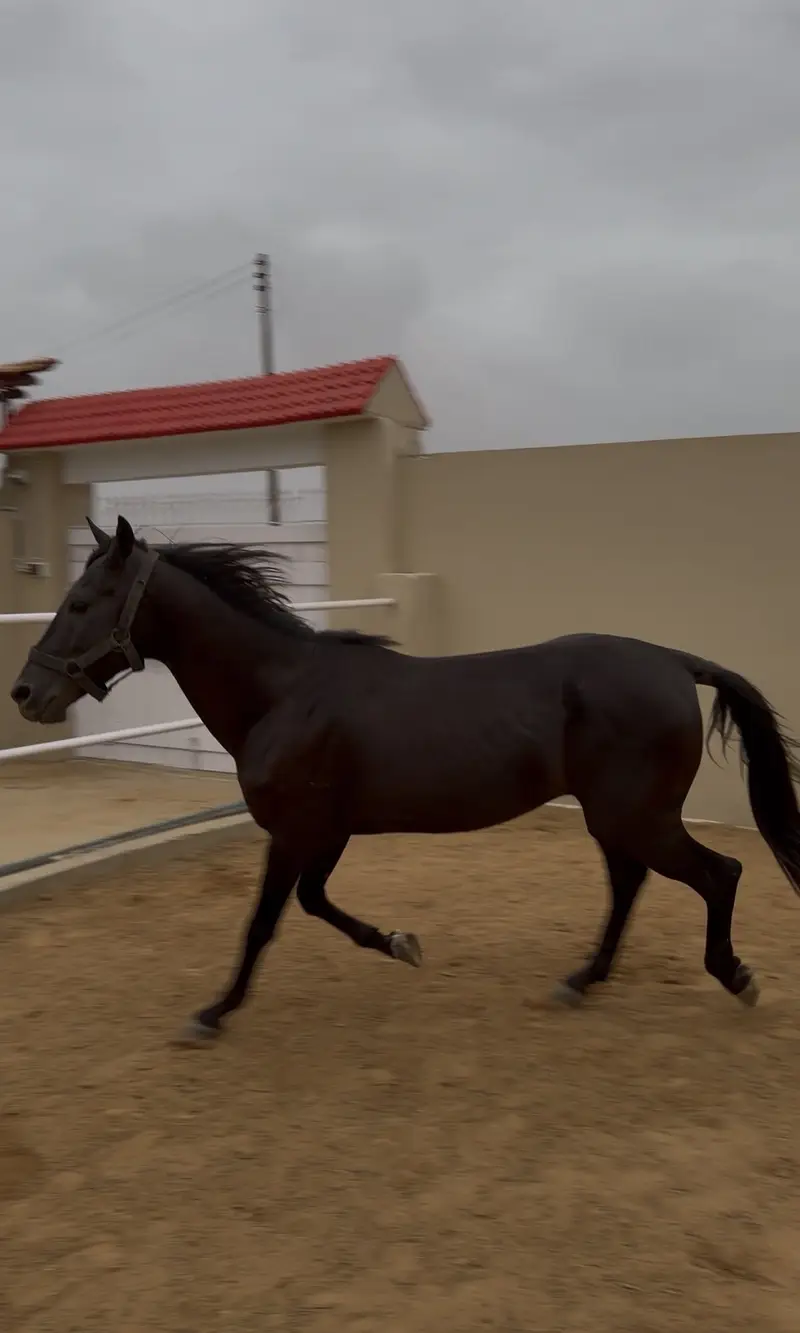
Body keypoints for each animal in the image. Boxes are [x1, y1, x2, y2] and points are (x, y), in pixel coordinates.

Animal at [10, 514, 800, 1045]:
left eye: (80, 604)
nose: (25, 693)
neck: (284, 693)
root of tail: (674, 661)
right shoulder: (325, 832)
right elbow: (314, 904)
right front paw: (400, 942)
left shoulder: (295, 831)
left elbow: (263, 921)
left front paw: (212, 1013)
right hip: (614, 815)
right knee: (632, 883)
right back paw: (581, 980)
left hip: (637, 814)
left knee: (719, 873)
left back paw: (736, 976)